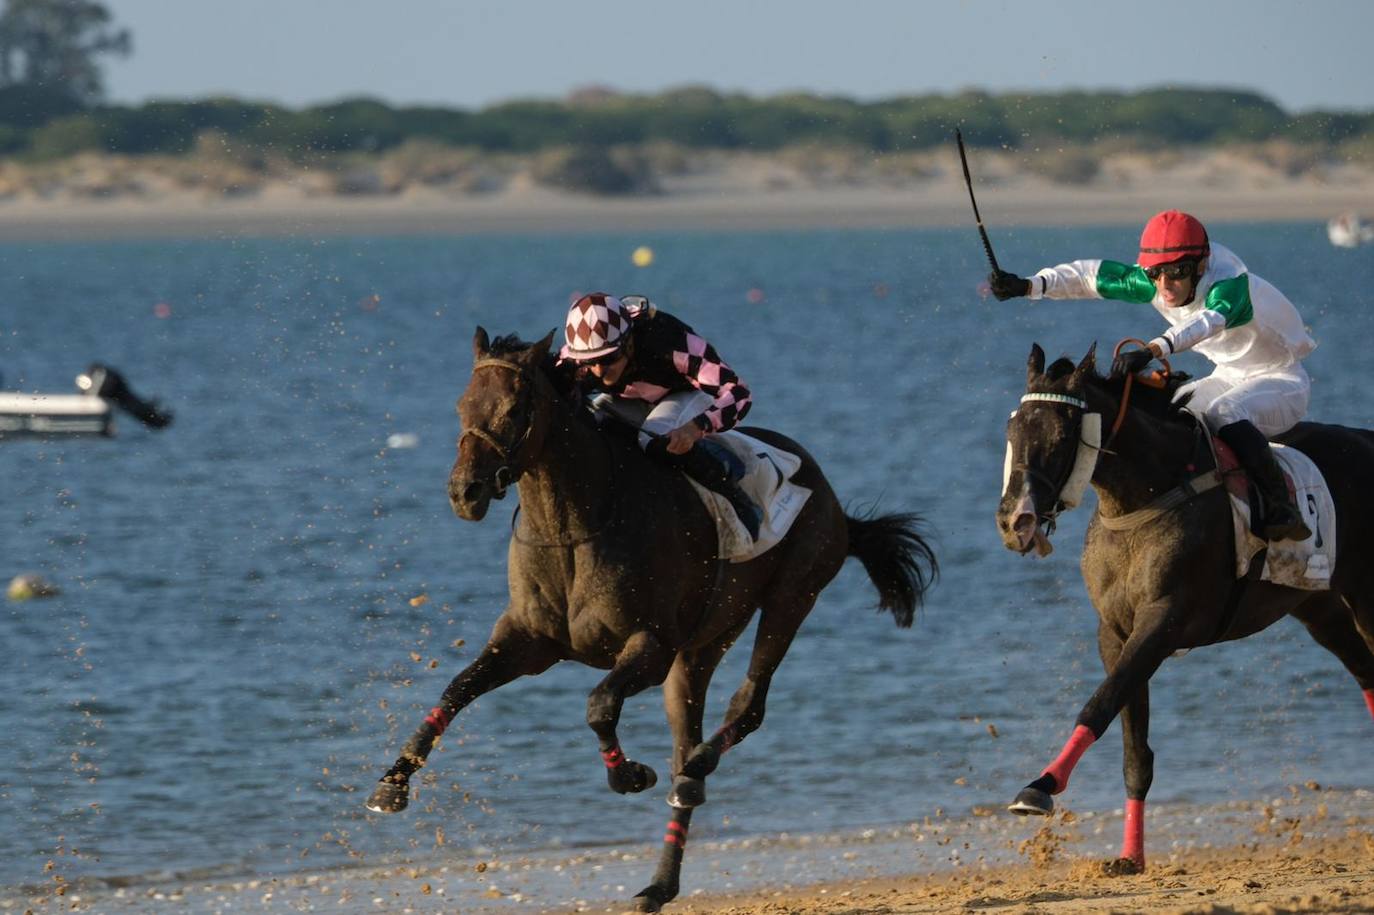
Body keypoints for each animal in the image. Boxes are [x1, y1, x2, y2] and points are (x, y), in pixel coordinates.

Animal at [370, 325, 939, 906]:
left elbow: (599, 705)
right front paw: (392, 784)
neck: (575, 527)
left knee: (747, 707)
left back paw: (697, 767)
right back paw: (660, 882)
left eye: (513, 410)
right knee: (688, 748)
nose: (464, 492)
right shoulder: (528, 641)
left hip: (792, 595)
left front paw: (628, 775)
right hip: (703, 647)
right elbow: (458, 688)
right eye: (462, 405)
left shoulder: (649, 645)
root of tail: (827, 490)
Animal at [994, 346, 1374, 873]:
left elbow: (1101, 702)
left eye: (1060, 436)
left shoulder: (1164, 621)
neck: (1148, 498)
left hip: (1366, 592)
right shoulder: (1115, 632)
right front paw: (1129, 855)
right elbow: (1133, 748)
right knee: (1365, 671)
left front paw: (1040, 788)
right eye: (1013, 432)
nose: (1015, 520)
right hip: (1322, 609)